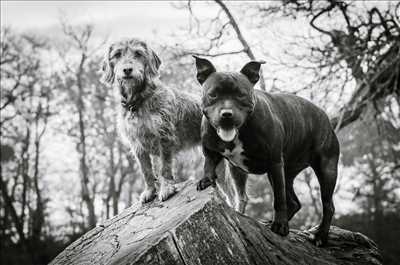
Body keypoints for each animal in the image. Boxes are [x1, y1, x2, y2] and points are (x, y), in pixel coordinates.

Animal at [100, 37, 200, 202]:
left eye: (138, 53)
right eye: (117, 54)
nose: (127, 70)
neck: (137, 102)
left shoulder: (164, 137)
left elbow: (164, 167)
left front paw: (166, 188)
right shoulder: (137, 145)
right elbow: (146, 170)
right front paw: (149, 191)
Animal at [195, 56, 340, 245]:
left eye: (241, 94)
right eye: (213, 94)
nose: (227, 114)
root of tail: (325, 116)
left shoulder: (275, 163)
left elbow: (278, 199)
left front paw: (281, 226)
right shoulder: (216, 155)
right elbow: (211, 167)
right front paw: (206, 180)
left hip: (325, 169)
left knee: (328, 206)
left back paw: (320, 235)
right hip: (285, 173)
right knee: (293, 202)